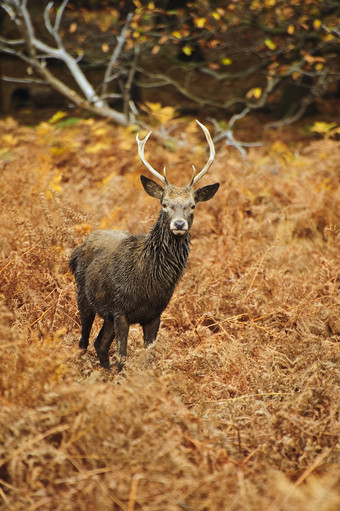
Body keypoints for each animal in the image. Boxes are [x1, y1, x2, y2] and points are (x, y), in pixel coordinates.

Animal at [69, 122, 219, 374]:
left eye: (192, 205)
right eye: (164, 204)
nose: (179, 224)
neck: (149, 279)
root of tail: (76, 251)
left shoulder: (154, 314)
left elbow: (150, 357)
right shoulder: (120, 309)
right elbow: (122, 356)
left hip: (106, 314)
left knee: (100, 344)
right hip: (83, 296)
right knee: (83, 341)